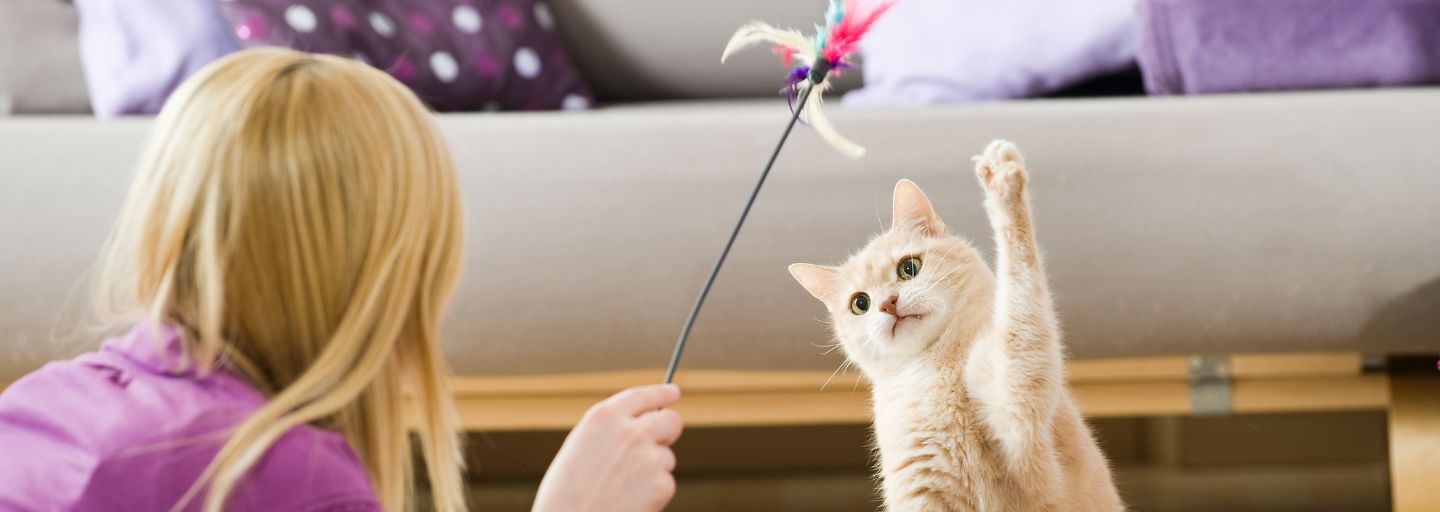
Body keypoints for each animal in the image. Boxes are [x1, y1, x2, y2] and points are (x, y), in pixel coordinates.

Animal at [789, 140, 1123, 512]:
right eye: (860, 304)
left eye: (909, 268)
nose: (888, 303)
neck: (932, 368)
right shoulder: (920, 494)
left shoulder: (1017, 408)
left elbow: (1020, 287)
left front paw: (1002, 185)